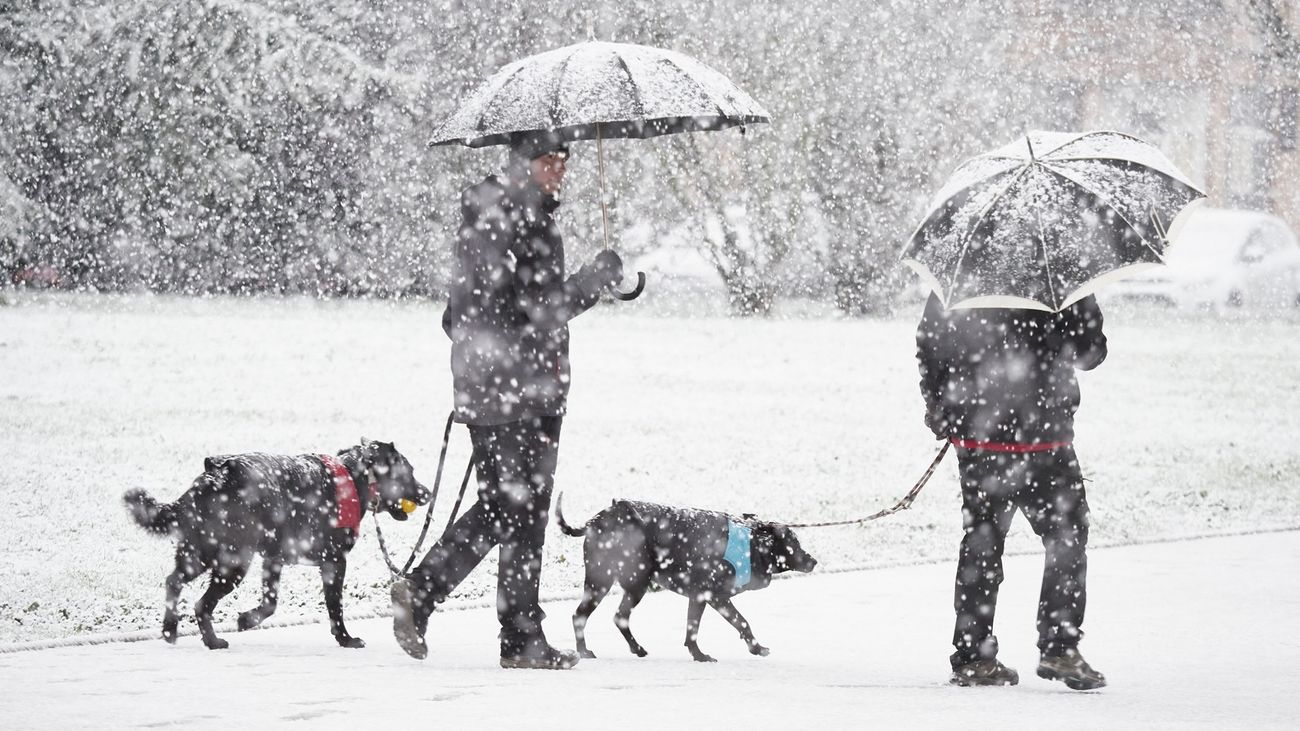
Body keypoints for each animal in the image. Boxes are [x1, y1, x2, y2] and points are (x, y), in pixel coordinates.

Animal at [122, 437, 428, 647]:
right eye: (409, 472)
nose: (427, 493)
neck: (356, 476)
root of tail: (214, 475)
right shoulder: (334, 562)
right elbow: (335, 606)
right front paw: (345, 638)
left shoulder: (274, 559)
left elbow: (270, 604)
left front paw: (247, 619)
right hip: (233, 561)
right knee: (200, 603)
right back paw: (208, 640)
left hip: (199, 552)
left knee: (175, 582)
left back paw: (173, 630)